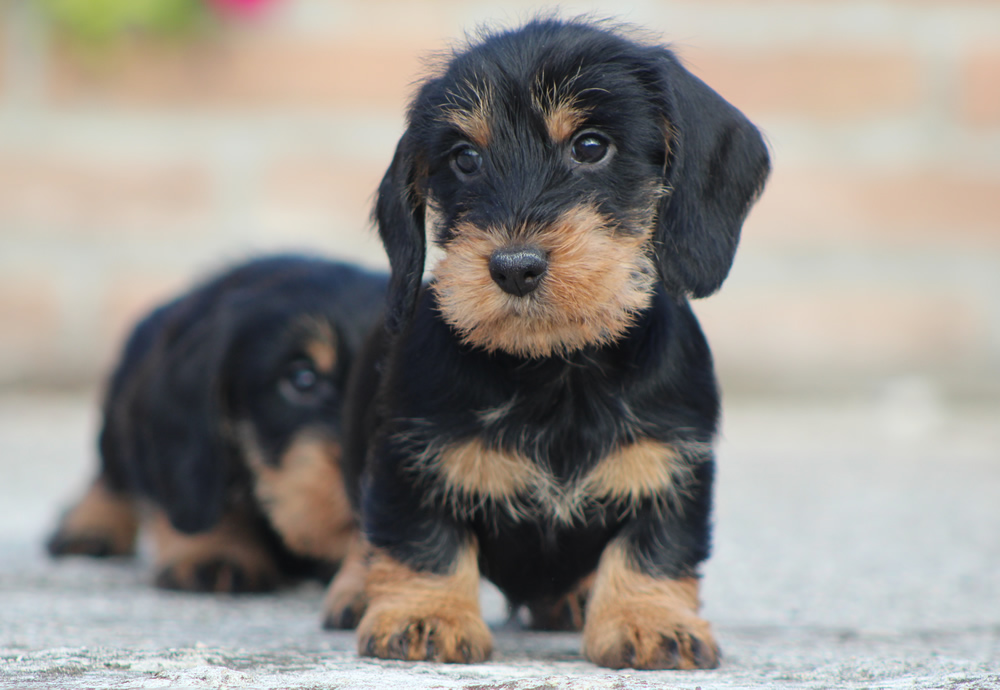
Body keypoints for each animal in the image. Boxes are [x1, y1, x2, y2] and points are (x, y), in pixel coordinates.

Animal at [324, 17, 768, 668]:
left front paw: (650, 622)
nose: (514, 268)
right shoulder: (409, 462)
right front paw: (425, 615)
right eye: (464, 158)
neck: (556, 368)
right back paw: (357, 588)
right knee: (364, 529)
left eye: (590, 146)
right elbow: (420, 540)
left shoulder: (673, 466)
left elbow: (653, 550)